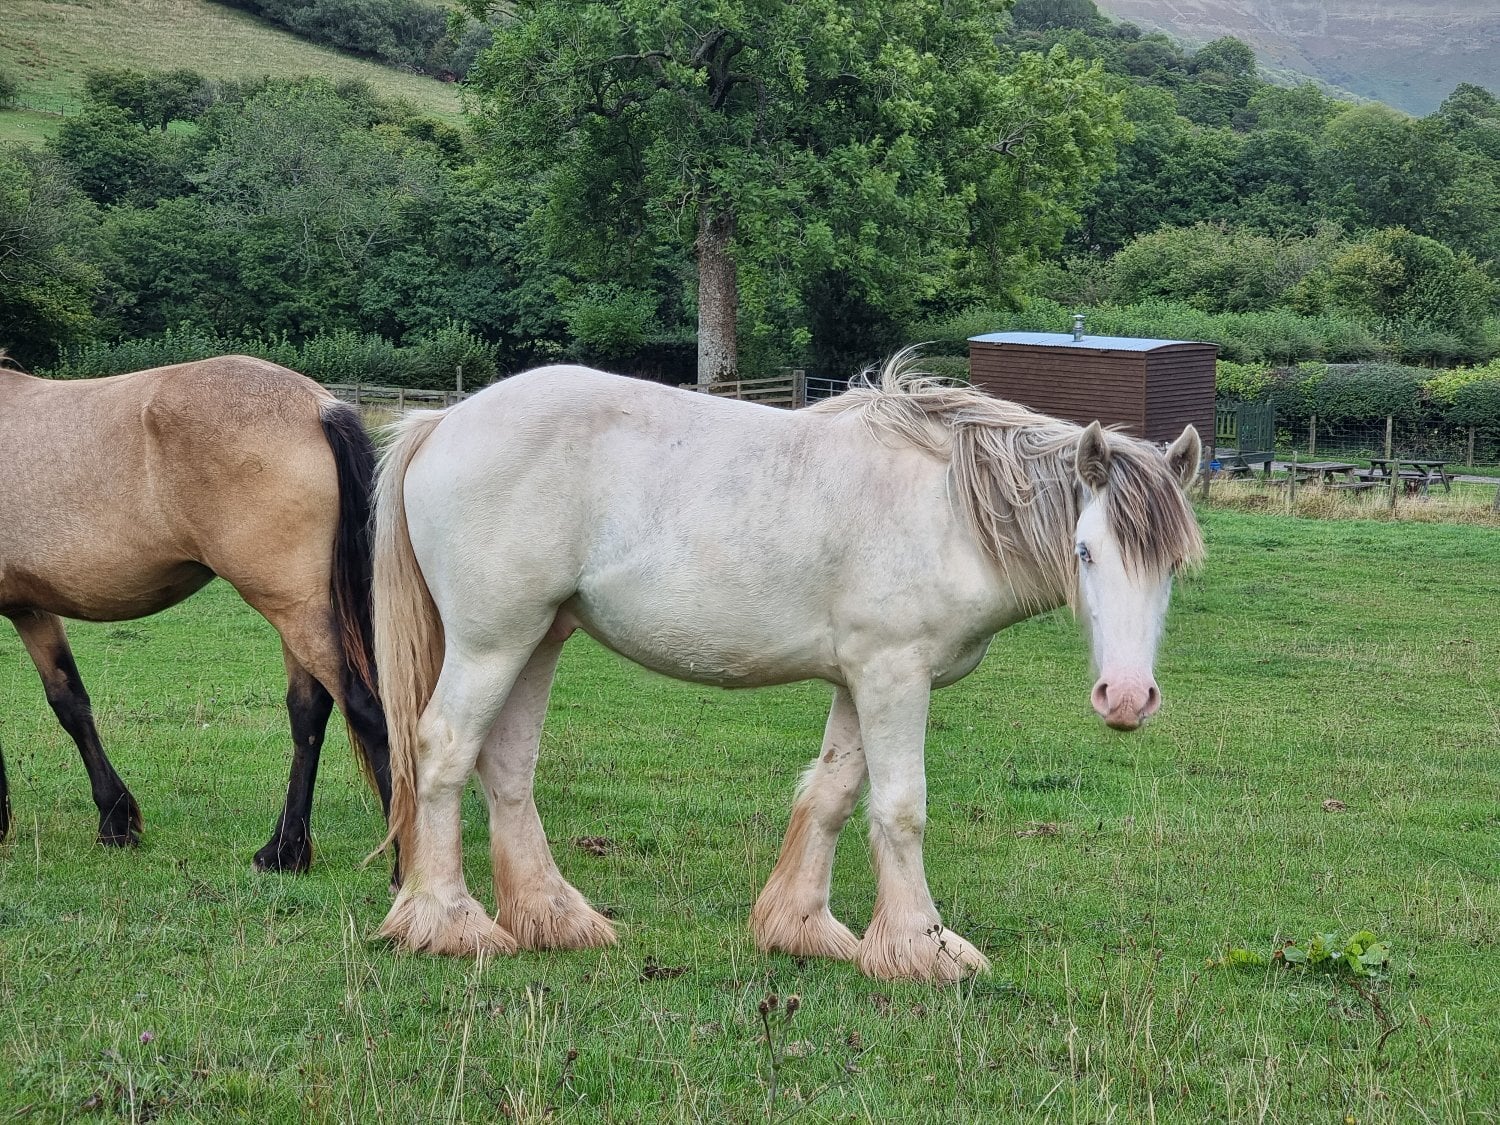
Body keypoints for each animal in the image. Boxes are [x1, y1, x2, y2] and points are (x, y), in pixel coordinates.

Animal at [0, 354, 391, 872]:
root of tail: (318, 406)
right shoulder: (30, 608)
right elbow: (70, 702)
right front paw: (115, 821)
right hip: (300, 608)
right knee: (308, 715)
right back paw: (284, 852)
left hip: (294, 608)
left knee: (366, 708)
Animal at [369, 353, 1203, 982]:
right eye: (1086, 551)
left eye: (1173, 566)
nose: (1127, 697)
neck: (946, 512)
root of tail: (444, 421)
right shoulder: (894, 676)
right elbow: (901, 806)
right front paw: (922, 946)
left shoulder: (864, 680)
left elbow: (832, 794)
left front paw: (801, 927)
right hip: (492, 642)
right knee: (445, 752)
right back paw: (450, 922)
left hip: (539, 638)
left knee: (507, 765)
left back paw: (554, 917)